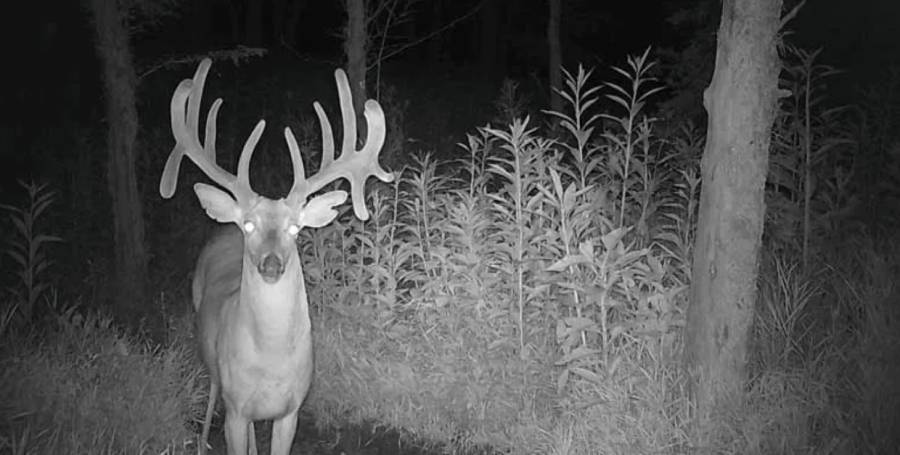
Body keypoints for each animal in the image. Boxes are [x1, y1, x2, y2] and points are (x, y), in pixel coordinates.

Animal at [158, 58, 393, 455]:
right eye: (249, 225)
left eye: (295, 228)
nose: (271, 264)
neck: (270, 364)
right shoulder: (236, 409)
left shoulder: (292, 409)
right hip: (208, 348)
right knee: (212, 390)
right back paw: (202, 439)